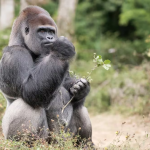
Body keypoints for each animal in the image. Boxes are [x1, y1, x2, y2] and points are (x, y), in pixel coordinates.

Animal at [0, 5, 93, 145]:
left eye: (51, 32)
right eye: (42, 31)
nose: (50, 38)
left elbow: (65, 82)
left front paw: (81, 89)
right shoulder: (15, 55)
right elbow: (29, 90)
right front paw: (62, 48)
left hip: (62, 141)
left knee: (79, 107)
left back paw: (85, 144)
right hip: (39, 140)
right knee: (28, 105)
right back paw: (25, 144)